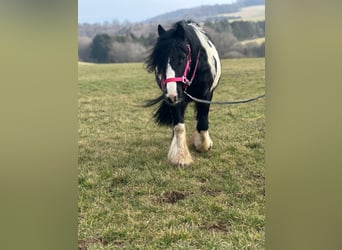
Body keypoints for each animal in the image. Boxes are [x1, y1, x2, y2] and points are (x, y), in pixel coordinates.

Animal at [145, 20, 222, 166]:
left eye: (182, 57)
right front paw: (180, 156)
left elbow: (202, 121)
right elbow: (179, 126)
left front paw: (203, 145)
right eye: (159, 61)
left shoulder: (206, 95)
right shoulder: (176, 99)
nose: (171, 95)